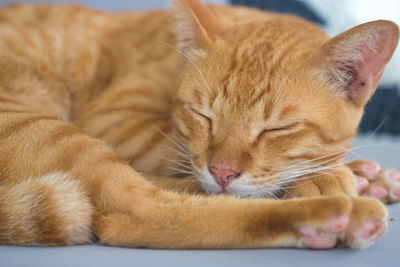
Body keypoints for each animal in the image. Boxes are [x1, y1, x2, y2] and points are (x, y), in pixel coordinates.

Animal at [0, 0, 400, 251]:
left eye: (276, 128)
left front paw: (362, 174)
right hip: (47, 129)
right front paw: (326, 175)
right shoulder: (117, 122)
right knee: (142, 210)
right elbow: (183, 163)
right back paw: (332, 212)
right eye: (203, 115)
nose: (223, 172)